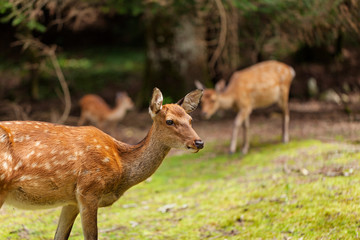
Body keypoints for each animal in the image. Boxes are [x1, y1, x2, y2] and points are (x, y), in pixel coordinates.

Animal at [0, 88, 204, 240]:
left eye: (190, 119)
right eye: (170, 121)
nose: (199, 142)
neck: (121, 167)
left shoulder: (71, 200)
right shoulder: (89, 190)